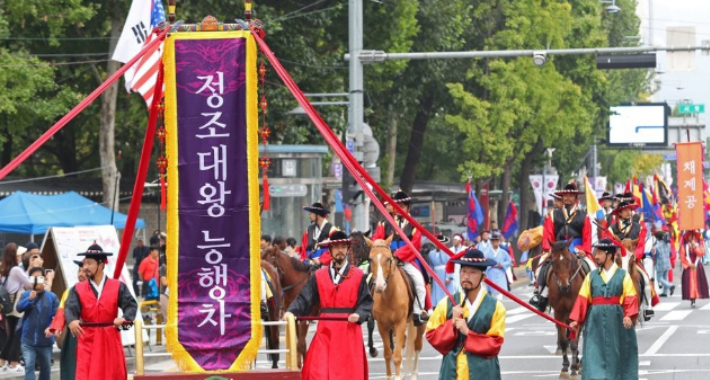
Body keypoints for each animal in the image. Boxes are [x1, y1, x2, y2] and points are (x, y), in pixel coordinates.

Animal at [370, 236, 426, 380]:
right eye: (370, 259)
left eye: (388, 259)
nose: (379, 286)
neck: (388, 296)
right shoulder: (382, 325)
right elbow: (388, 353)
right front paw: (390, 376)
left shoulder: (399, 322)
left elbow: (397, 356)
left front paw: (398, 376)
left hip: (420, 323)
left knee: (417, 345)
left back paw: (413, 374)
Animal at [548, 242, 588, 378]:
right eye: (553, 261)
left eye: (569, 260)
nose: (564, 286)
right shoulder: (559, 313)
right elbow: (564, 341)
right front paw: (565, 368)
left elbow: (574, 342)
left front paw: (574, 368)